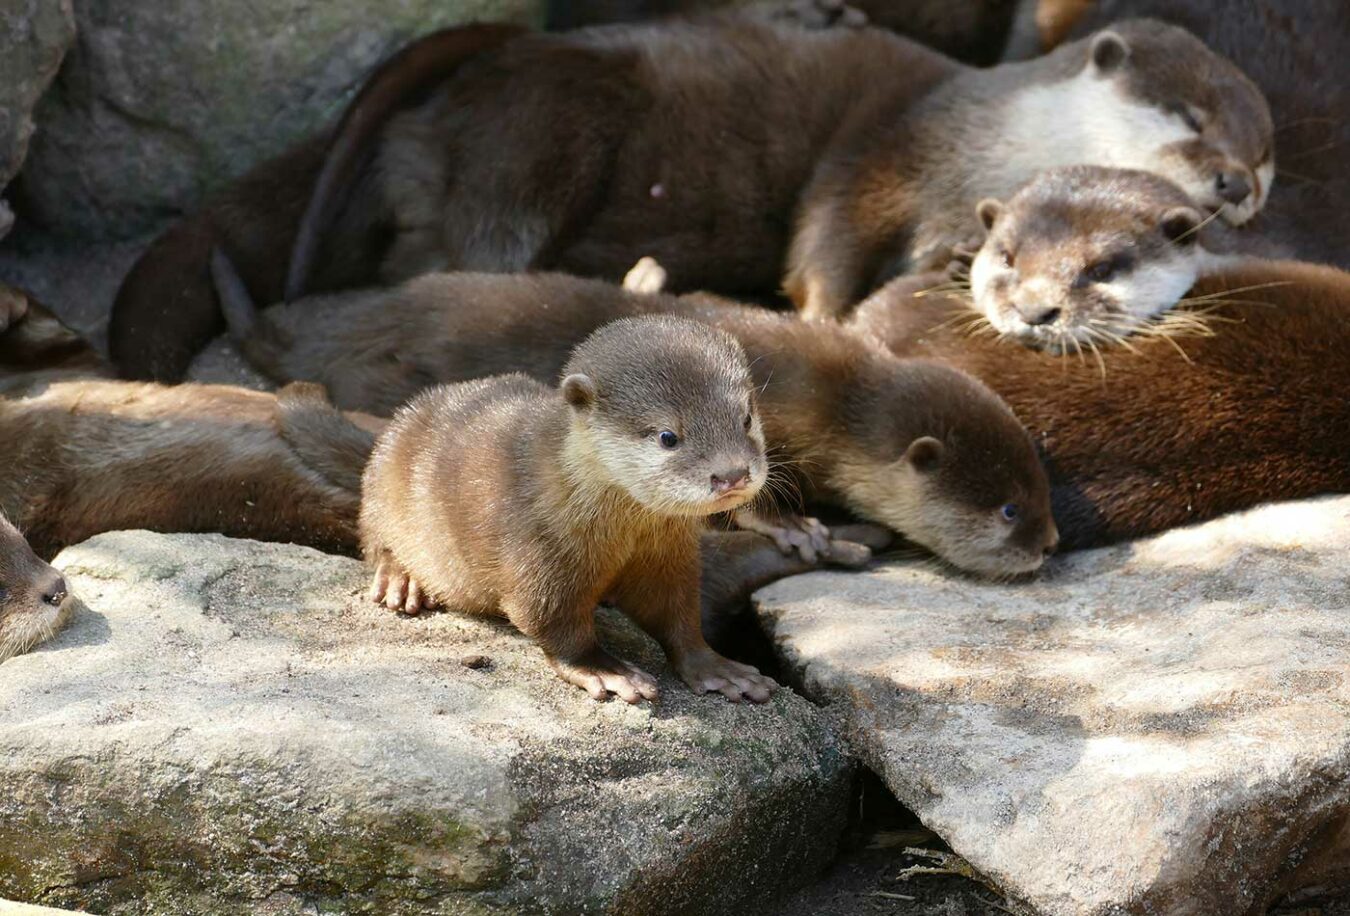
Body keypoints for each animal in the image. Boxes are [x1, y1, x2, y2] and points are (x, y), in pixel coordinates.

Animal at [364, 315, 777, 701]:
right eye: (668, 436)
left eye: (746, 417)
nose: (732, 474)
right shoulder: (537, 553)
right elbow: (552, 622)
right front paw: (605, 670)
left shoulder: (667, 559)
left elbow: (678, 616)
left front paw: (717, 668)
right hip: (381, 479)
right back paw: (402, 581)